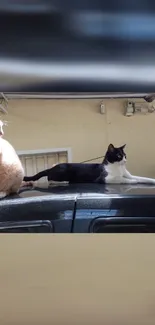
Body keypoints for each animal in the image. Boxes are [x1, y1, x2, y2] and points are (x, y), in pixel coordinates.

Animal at [23, 144, 155, 185]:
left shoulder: (128, 174)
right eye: (118, 156)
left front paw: (151, 180)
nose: (125, 161)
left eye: (125, 155)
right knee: (50, 178)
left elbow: (141, 178)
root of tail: (52, 167)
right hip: (62, 171)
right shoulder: (105, 178)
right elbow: (122, 179)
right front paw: (133, 182)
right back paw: (64, 181)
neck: (119, 168)